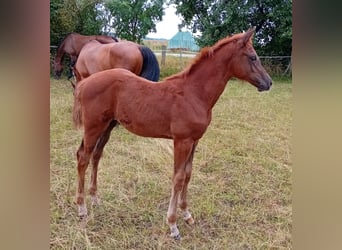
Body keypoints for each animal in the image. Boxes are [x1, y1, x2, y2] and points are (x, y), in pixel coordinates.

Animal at [72, 26, 272, 238]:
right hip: (93, 127)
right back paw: (82, 208)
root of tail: (84, 83)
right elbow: (178, 178)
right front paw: (173, 225)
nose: (269, 82)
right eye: (252, 57)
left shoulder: (195, 140)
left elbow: (188, 174)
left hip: (107, 126)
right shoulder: (181, 141)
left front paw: (187, 215)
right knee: (83, 157)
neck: (194, 93)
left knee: (96, 155)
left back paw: (95, 199)